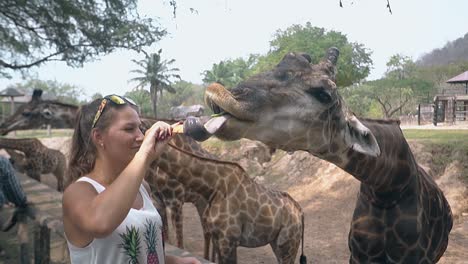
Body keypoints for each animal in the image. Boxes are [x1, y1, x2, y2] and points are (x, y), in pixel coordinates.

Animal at [155, 138, 306, 264]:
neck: (212, 186)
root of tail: (300, 213)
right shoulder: (218, 238)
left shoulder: (228, 239)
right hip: (277, 243)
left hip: (289, 244)